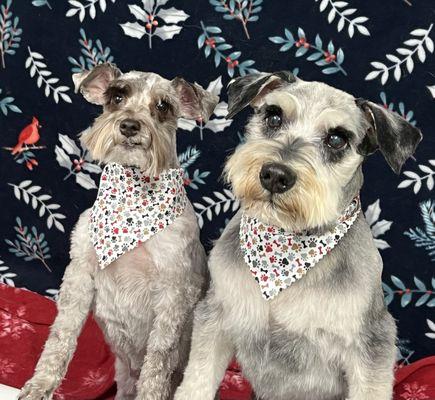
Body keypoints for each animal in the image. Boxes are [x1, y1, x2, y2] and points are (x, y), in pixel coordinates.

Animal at [19, 63, 218, 400]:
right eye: (116, 96)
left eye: (163, 106)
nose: (129, 125)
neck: (131, 199)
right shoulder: (80, 273)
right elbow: (61, 335)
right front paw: (40, 384)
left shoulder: (173, 291)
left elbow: (158, 360)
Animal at [175, 72, 424, 400]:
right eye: (274, 116)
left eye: (337, 139)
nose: (275, 175)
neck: (283, 251)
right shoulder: (215, 316)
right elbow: (197, 380)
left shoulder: (371, 344)